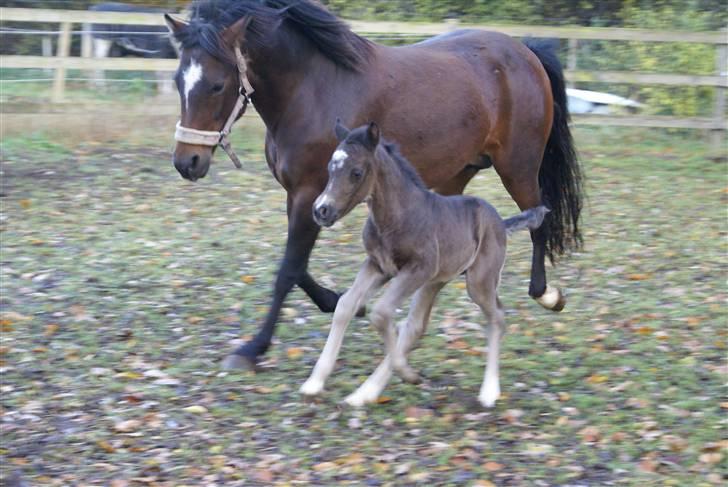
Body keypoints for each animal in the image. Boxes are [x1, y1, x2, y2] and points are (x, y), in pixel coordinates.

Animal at [162, 0, 584, 370]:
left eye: (217, 85)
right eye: (178, 80)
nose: (187, 163)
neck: (311, 90)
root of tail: (525, 51)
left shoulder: (309, 194)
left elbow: (288, 271)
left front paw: (252, 349)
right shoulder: (300, 197)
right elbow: (297, 267)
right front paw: (339, 301)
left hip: (518, 167)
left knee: (540, 219)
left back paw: (546, 294)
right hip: (458, 172)